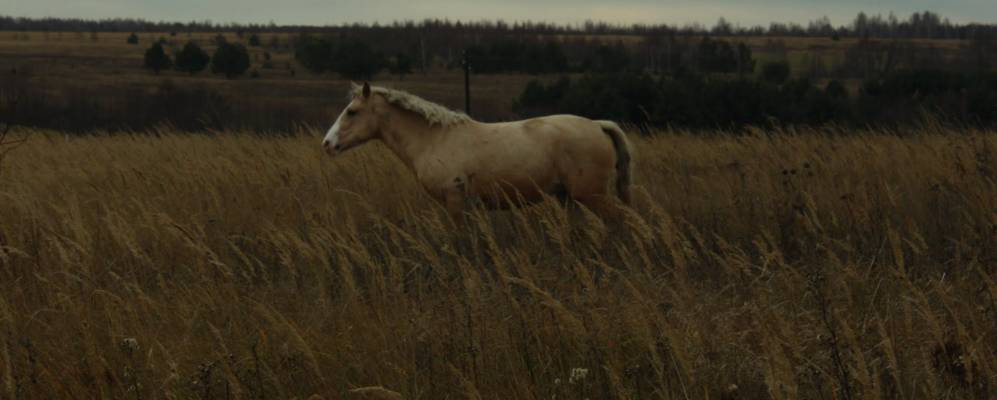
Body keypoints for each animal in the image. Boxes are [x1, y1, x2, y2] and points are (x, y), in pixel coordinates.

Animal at [320, 82, 632, 223]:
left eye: (352, 111)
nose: (327, 143)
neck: (434, 139)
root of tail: (597, 125)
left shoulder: (456, 202)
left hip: (592, 195)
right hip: (570, 199)